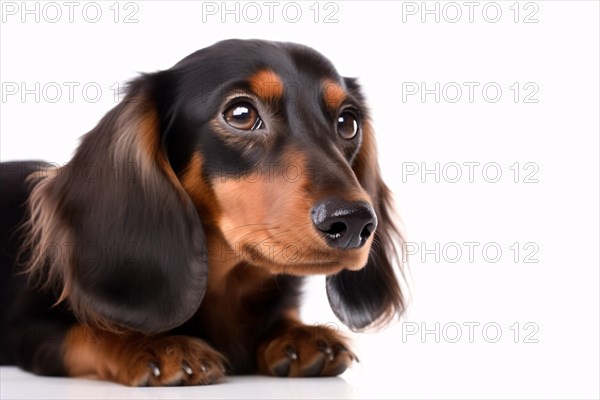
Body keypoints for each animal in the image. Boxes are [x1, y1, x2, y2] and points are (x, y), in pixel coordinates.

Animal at [0, 39, 406, 386]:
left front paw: (299, 335)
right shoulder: (27, 328)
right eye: (240, 114)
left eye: (347, 122)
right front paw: (154, 345)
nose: (353, 222)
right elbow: (87, 330)